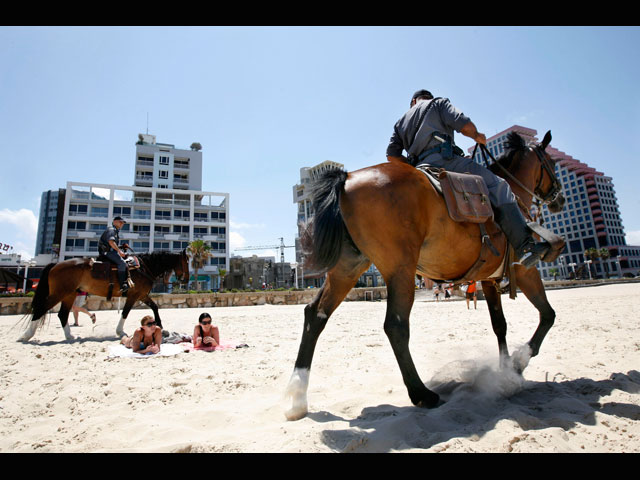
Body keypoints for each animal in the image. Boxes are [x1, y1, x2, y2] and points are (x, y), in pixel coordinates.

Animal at [18, 249, 190, 344]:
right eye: (186, 263)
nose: (186, 279)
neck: (144, 267)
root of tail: (56, 264)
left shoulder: (141, 295)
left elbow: (155, 307)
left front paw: (160, 326)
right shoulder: (134, 295)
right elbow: (125, 312)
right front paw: (120, 332)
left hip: (69, 294)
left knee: (62, 314)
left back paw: (69, 336)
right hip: (60, 293)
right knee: (41, 309)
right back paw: (26, 335)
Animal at [284, 129, 564, 418]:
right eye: (552, 163)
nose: (560, 198)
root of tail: (347, 179)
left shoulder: (489, 279)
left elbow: (500, 325)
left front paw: (506, 368)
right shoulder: (525, 271)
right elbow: (548, 315)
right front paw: (519, 362)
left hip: (347, 269)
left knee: (316, 315)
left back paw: (297, 395)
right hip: (400, 270)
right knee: (395, 326)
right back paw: (421, 393)